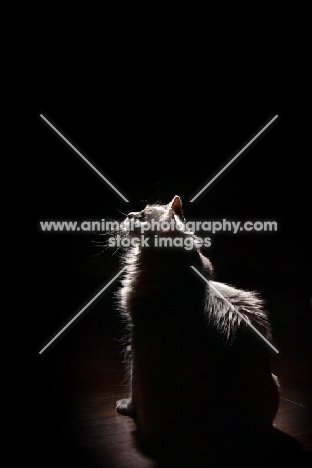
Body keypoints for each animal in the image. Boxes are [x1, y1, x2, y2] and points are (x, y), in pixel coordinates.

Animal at [114, 196, 300, 466]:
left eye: (142, 216)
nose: (128, 214)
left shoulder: (138, 340)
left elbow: (133, 384)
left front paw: (127, 407)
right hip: (273, 380)